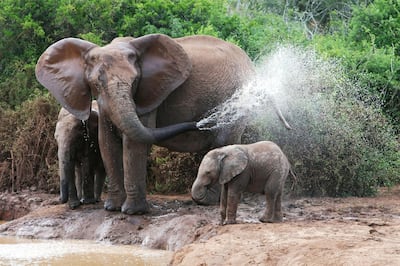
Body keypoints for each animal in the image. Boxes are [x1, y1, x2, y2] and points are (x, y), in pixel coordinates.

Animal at [36, 34, 290, 215]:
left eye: (135, 81)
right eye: (96, 83)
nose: (198, 122)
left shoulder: (148, 95)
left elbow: (133, 142)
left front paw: (132, 213)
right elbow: (106, 141)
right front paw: (112, 209)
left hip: (238, 98)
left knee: (222, 140)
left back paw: (207, 200)